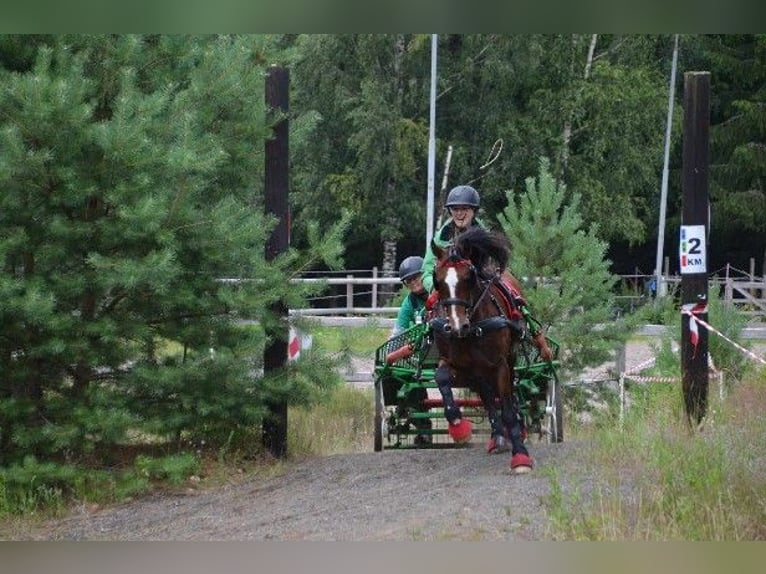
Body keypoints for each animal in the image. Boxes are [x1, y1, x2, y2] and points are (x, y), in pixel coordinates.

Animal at [432, 227, 536, 474]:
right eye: (437, 280)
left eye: (469, 277)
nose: (457, 325)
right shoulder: (455, 363)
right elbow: (441, 378)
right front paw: (457, 424)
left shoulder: (499, 364)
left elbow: (506, 407)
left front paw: (521, 456)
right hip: (477, 372)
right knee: (488, 397)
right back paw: (497, 437)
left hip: (509, 358)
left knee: (508, 394)